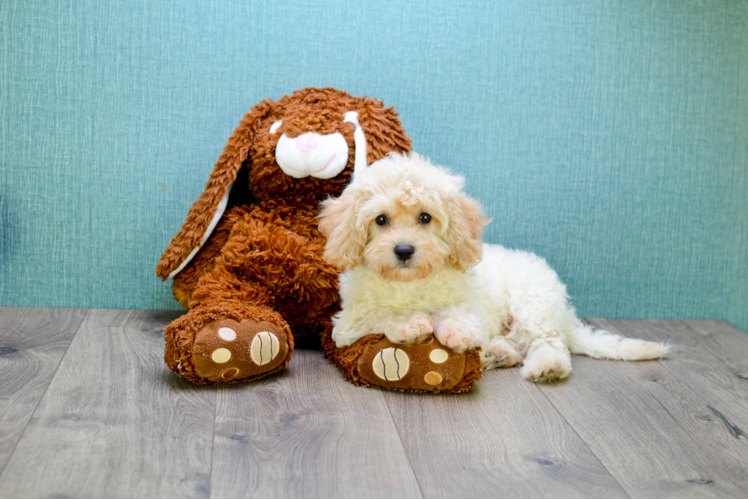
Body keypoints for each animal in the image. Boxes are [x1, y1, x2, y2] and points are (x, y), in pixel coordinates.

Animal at [318, 150, 668, 380]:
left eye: (425, 218)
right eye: (381, 220)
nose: (404, 250)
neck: (410, 281)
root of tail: (565, 314)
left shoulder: (471, 305)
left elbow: (462, 315)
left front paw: (456, 330)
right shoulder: (347, 323)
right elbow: (379, 314)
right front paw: (408, 324)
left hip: (532, 300)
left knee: (549, 342)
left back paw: (545, 365)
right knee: (521, 343)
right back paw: (497, 352)